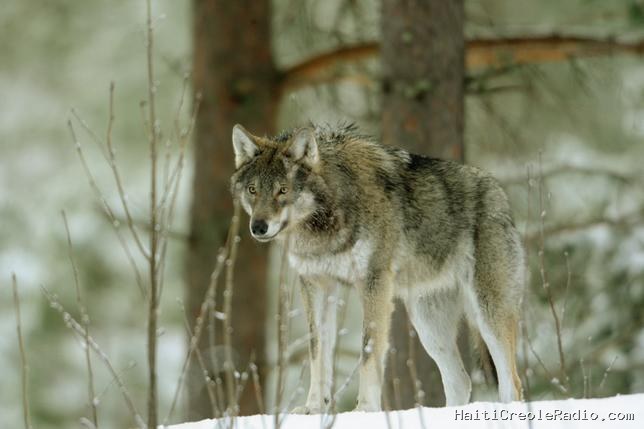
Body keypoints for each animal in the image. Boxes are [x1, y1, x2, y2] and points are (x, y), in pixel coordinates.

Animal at [230, 123, 524, 413]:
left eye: (282, 190)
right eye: (253, 190)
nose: (258, 227)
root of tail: (499, 193)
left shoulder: (374, 282)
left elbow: (369, 349)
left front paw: (365, 409)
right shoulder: (316, 284)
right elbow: (317, 348)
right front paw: (313, 408)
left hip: (488, 314)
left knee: (512, 383)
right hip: (428, 325)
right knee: (460, 381)